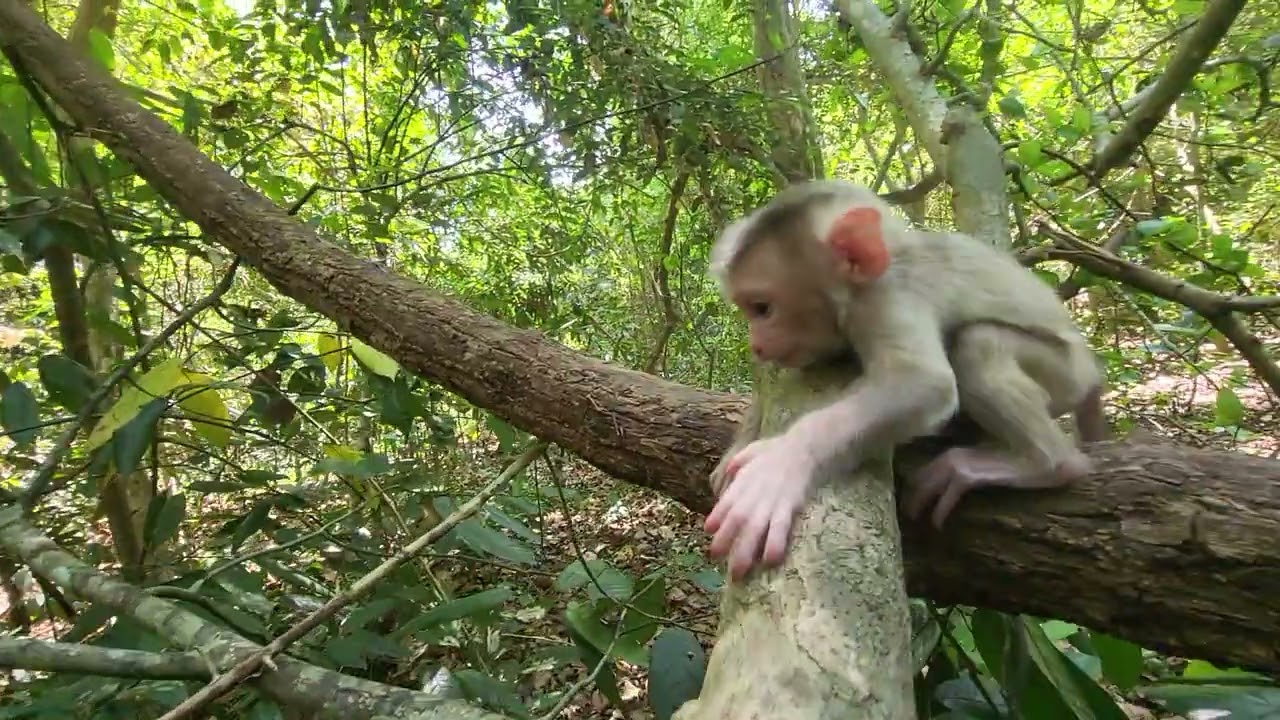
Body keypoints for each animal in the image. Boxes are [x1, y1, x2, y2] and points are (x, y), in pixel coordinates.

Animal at [704, 179, 1106, 580]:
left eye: (762, 309)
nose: (756, 345)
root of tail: (1090, 371)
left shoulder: (886, 298)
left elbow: (923, 382)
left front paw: (782, 463)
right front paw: (740, 444)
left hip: (1065, 371)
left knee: (978, 343)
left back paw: (1047, 462)